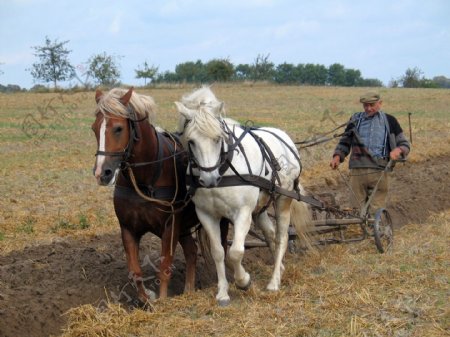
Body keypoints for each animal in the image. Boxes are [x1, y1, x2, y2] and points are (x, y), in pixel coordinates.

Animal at [91, 87, 200, 302]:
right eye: (94, 128)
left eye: (118, 128)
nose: (101, 173)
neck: (145, 178)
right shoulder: (128, 228)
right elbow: (135, 272)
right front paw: (147, 299)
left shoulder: (170, 227)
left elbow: (164, 267)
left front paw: (163, 301)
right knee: (192, 252)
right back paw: (189, 291)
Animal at [175, 86, 310, 304]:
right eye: (191, 141)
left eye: (218, 138)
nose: (209, 179)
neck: (224, 169)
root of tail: (285, 138)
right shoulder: (206, 215)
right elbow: (218, 252)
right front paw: (222, 292)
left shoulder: (243, 212)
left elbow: (236, 252)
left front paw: (244, 281)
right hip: (261, 207)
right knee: (270, 233)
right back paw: (279, 267)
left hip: (283, 199)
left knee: (281, 237)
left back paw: (274, 282)